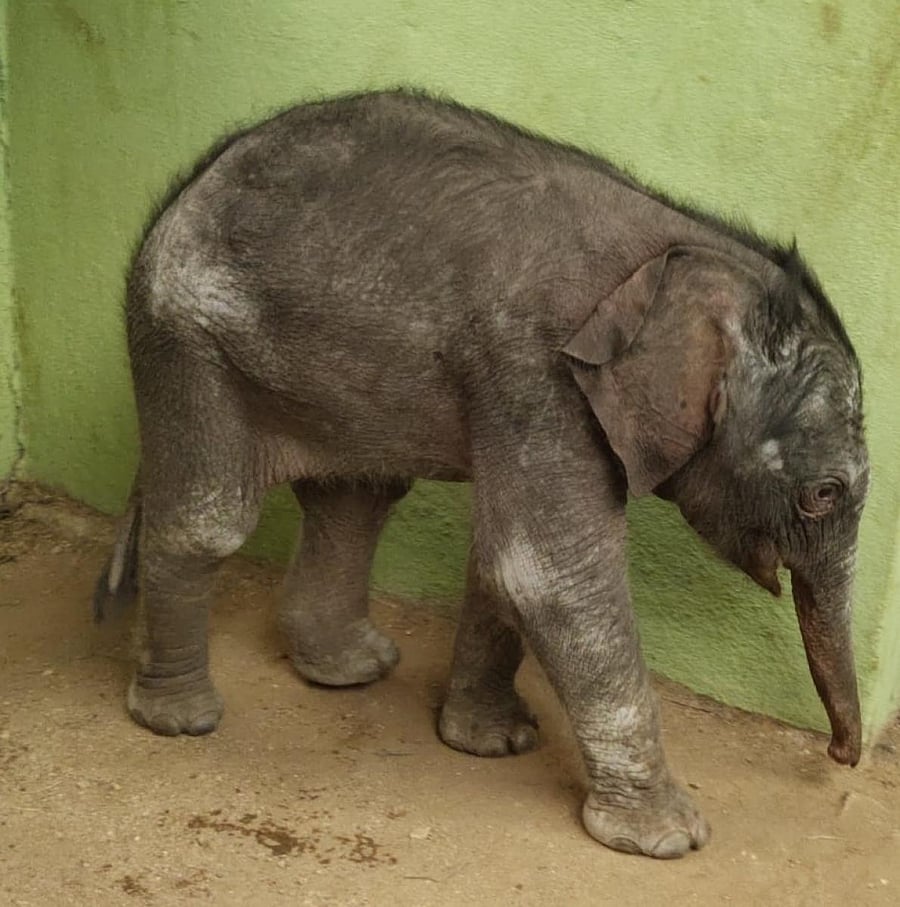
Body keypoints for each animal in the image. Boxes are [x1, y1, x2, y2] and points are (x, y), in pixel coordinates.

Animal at [95, 90, 869, 859]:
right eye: (822, 494)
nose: (838, 757)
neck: (682, 246)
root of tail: (183, 187)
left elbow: (500, 561)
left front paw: (496, 743)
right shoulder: (535, 370)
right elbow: (547, 575)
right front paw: (670, 838)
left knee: (358, 499)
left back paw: (351, 670)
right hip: (186, 341)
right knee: (210, 521)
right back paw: (182, 718)